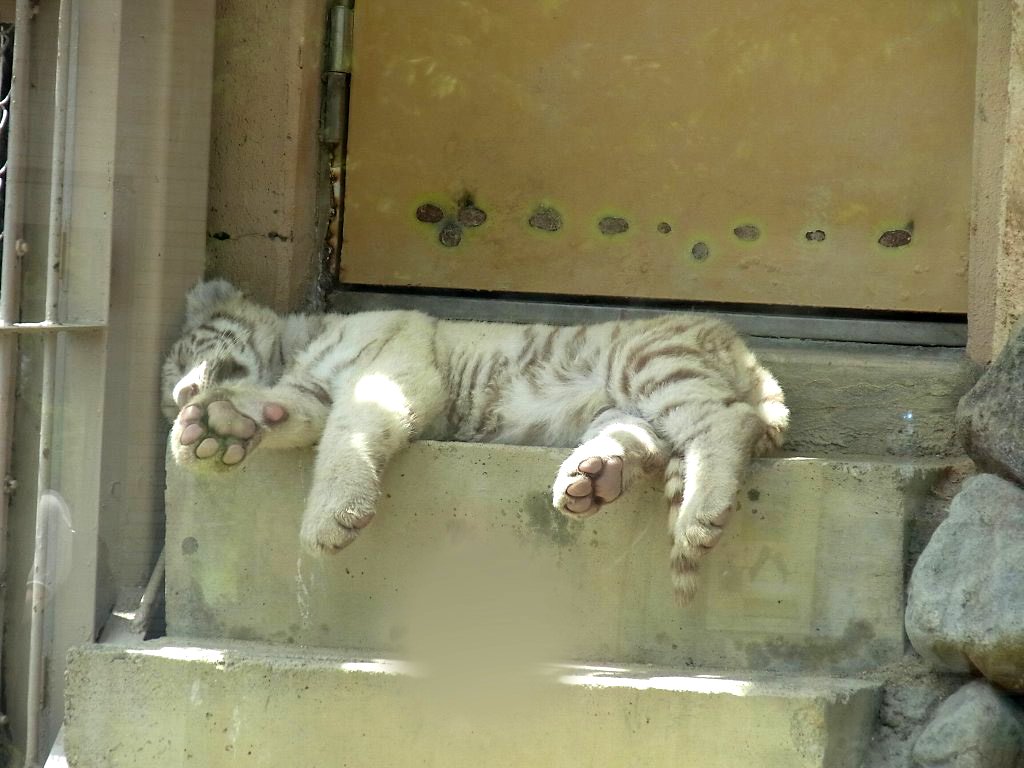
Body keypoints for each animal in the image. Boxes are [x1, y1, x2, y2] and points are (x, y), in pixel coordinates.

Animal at [159, 280, 786, 606]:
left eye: (191, 349)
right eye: (169, 386)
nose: (180, 390)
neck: (295, 349)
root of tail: (747, 355)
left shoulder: (390, 365)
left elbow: (346, 431)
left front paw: (331, 519)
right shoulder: (307, 393)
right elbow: (283, 411)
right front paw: (211, 429)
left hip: (646, 363)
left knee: (723, 420)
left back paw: (700, 517)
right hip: (624, 410)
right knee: (646, 443)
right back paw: (591, 479)